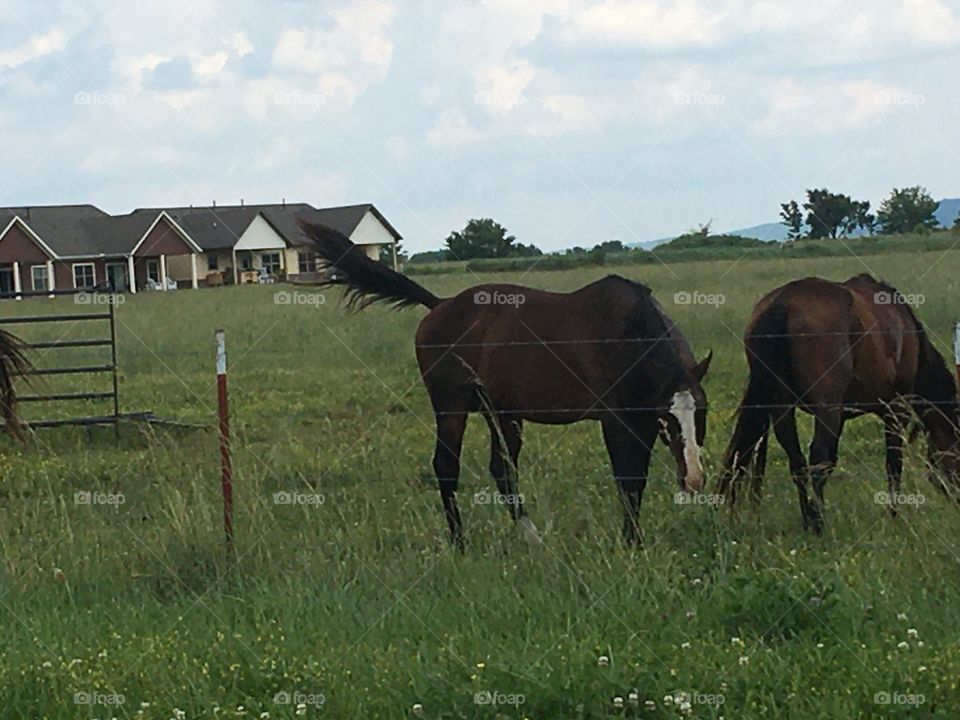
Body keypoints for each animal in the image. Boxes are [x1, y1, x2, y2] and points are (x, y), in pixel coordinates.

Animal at [299, 221, 712, 548]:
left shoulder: (640, 419)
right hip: (451, 406)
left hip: (502, 412)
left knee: (502, 470)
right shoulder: (616, 420)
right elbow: (628, 478)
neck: (629, 334)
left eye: (702, 413)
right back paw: (460, 544)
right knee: (446, 466)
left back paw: (533, 540)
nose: (693, 480)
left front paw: (635, 541)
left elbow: (636, 481)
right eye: (669, 419)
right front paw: (630, 546)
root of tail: (438, 305)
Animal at [718, 274, 959, 533]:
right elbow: (893, 463)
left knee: (797, 461)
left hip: (783, 408)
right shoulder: (896, 408)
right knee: (817, 459)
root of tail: (783, 304)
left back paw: (808, 518)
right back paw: (818, 523)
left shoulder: (842, 416)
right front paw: (894, 513)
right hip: (826, 409)